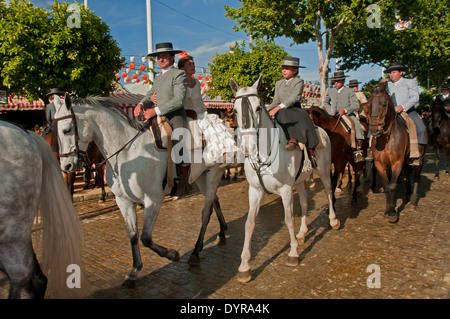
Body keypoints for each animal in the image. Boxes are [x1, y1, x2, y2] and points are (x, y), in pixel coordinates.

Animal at [53, 95, 229, 282]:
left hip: (212, 175)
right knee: (215, 202)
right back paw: (222, 230)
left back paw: (196, 251)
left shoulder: (153, 200)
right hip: (201, 177)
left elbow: (145, 237)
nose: (66, 166)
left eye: (67, 130)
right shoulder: (123, 201)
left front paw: (171, 254)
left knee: (206, 212)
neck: (127, 152)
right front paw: (135, 268)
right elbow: (133, 235)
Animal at [230, 77, 340, 282]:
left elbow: (288, 219)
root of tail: (320, 129)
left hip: (323, 170)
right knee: (304, 202)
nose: (248, 148)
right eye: (234, 110)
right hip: (300, 180)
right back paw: (303, 233)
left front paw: (293, 254)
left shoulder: (286, 189)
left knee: (329, 191)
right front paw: (244, 267)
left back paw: (333, 220)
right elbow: (249, 224)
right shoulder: (255, 191)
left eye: (258, 108)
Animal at [366, 82, 426, 222]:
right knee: (407, 172)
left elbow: (392, 185)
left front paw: (393, 212)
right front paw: (387, 210)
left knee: (416, 177)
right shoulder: (380, 164)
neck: (386, 139)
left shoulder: (396, 162)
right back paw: (408, 194)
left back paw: (413, 201)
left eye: (384, 104)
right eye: (369, 104)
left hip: (420, 159)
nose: (374, 130)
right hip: (405, 160)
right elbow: (386, 186)